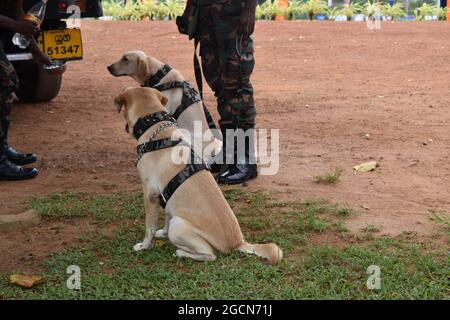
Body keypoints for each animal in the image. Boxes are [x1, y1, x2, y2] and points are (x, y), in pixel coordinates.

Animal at [112, 86, 282, 264]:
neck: (155, 126)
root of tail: (238, 244)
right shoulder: (166, 196)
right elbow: (166, 217)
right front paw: (162, 234)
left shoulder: (150, 194)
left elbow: (149, 227)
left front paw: (144, 246)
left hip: (178, 227)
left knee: (209, 255)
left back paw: (180, 252)